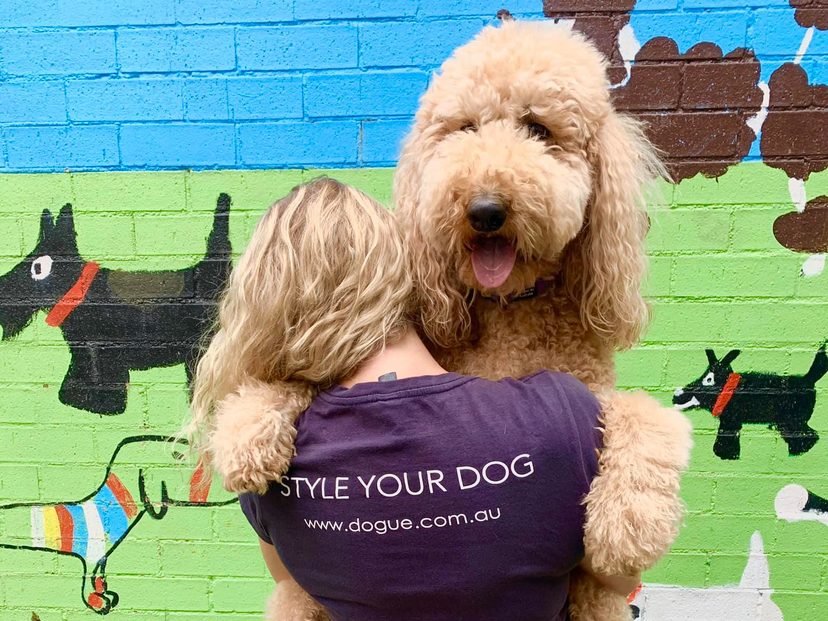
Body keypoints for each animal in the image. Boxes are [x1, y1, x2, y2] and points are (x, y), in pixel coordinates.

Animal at [0, 435, 234, 615]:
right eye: (177, 454)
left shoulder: (101, 558)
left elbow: (99, 577)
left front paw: (103, 593)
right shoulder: (90, 555)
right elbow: (87, 579)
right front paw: (96, 602)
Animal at [674, 345, 827, 460]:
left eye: (709, 379)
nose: (677, 394)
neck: (730, 390)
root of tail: (808, 380)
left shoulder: (731, 420)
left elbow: (725, 441)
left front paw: (727, 456)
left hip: (792, 421)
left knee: (809, 437)